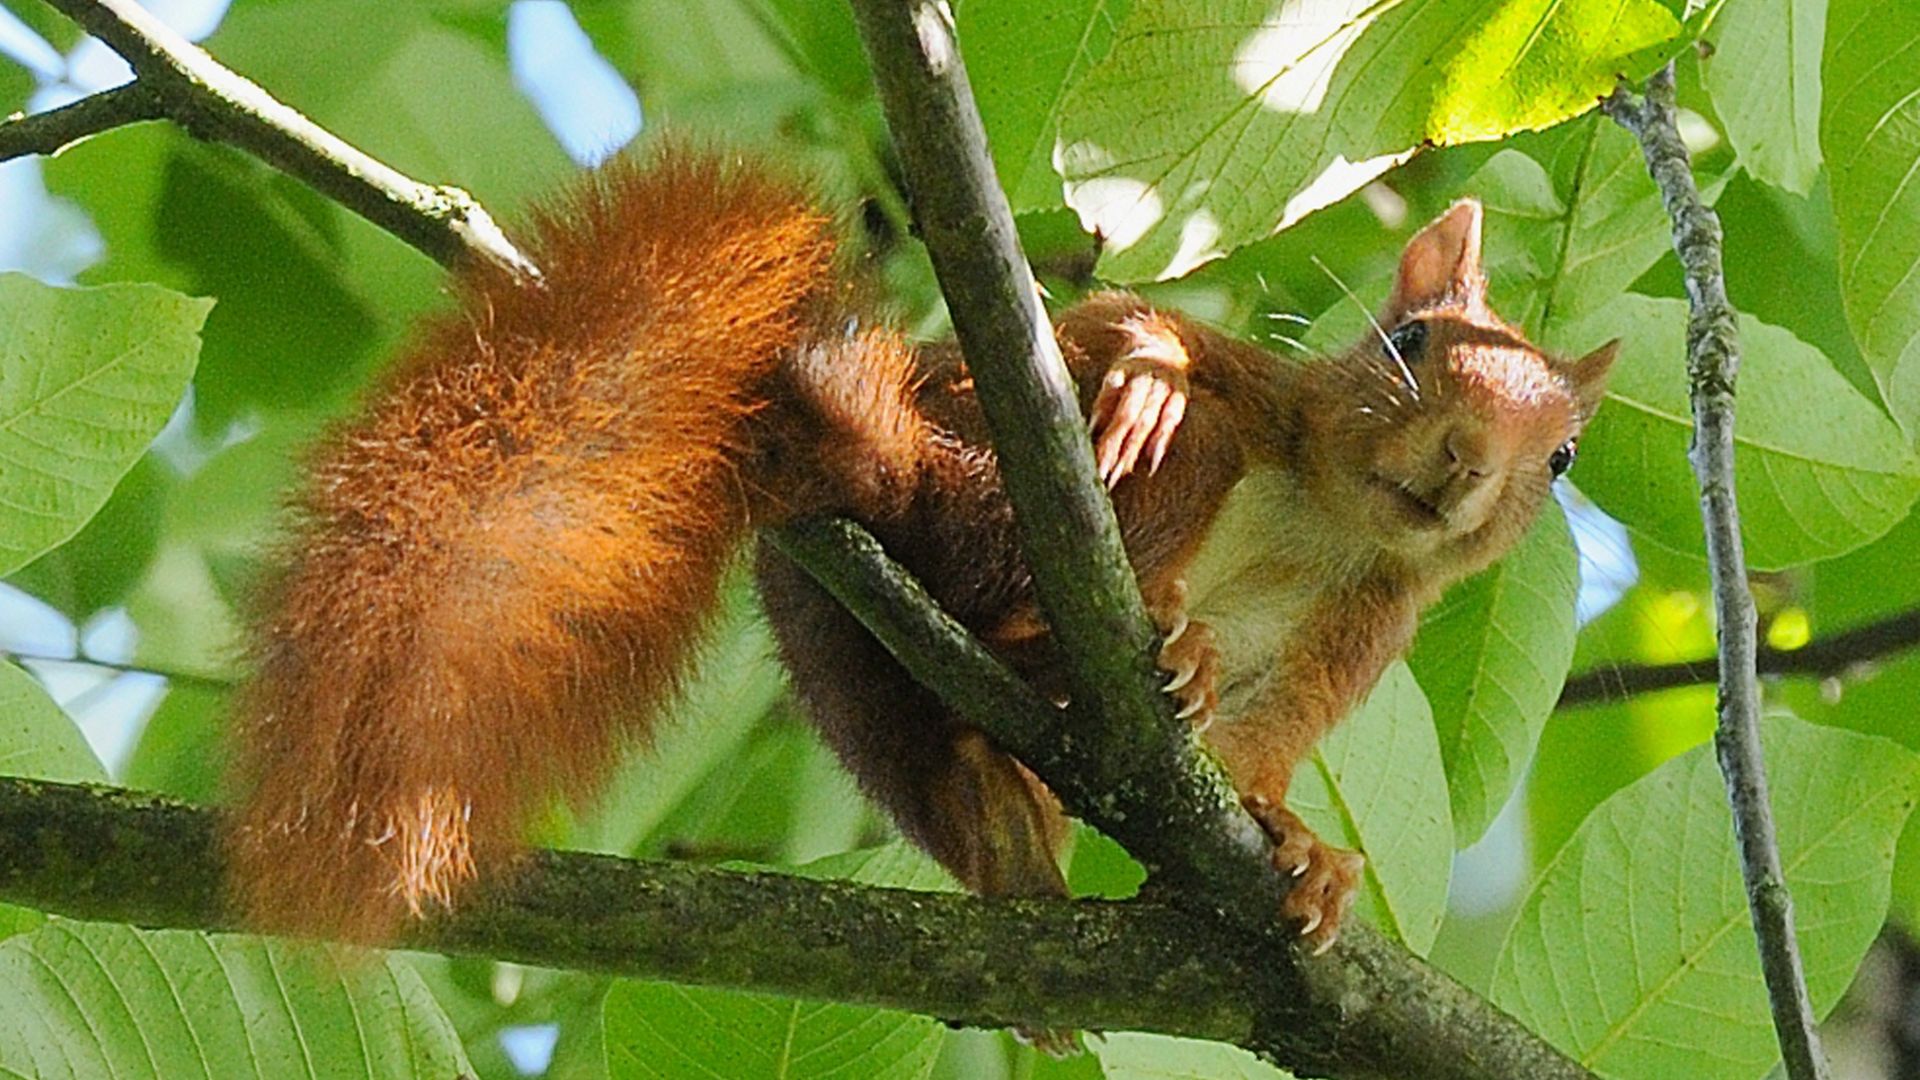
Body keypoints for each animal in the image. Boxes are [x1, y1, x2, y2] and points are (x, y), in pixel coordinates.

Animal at [220, 145, 1605, 949]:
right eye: (1413, 339)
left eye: (1561, 461)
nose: (1466, 462)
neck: (1329, 512)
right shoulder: (1270, 398)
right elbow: (1127, 323)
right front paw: (1149, 367)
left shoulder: (1374, 622)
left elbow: (1273, 743)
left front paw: (1304, 850)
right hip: (1003, 490)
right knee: (1061, 542)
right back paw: (1104, 635)